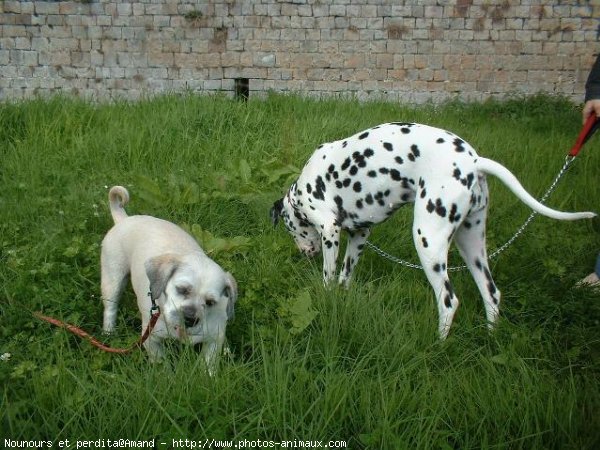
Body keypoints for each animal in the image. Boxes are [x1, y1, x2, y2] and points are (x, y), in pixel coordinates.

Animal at [101, 185, 237, 370]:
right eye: (181, 290)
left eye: (210, 302)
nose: (190, 318)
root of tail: (124, 219)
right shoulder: (151, 340)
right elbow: (161, 364)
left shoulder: (215, 340)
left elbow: (208, 366)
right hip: (112, 280)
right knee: (110, 308)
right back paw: (109, 332)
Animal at [272, 123, 596, 338]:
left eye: (289, 229)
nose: (304, 254)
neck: (303, 188)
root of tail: (473, 161)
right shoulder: (359, 236)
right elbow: (345, 277)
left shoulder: (330, 231)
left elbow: (328, 277)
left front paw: (326, 297)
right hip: (472, 246)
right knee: (491, 294)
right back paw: (490, 339)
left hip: (428, 241)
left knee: (449, 301)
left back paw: (437, 344)